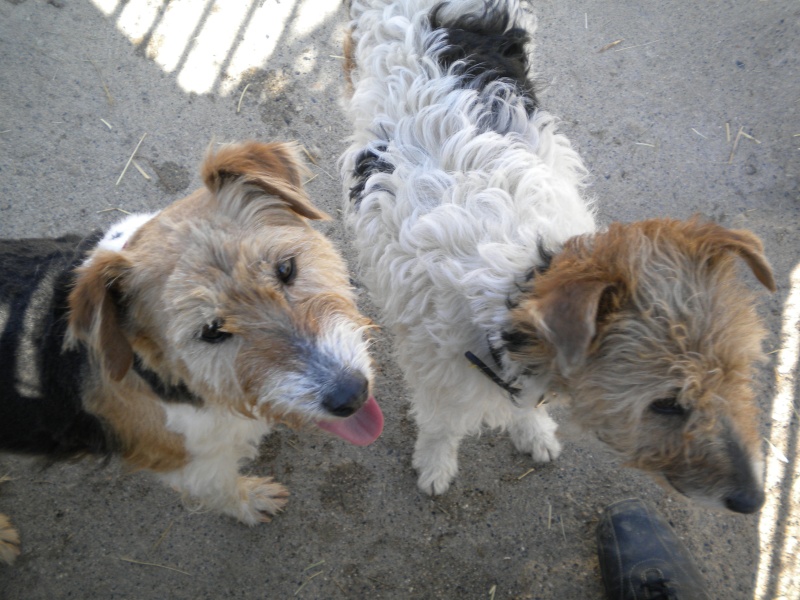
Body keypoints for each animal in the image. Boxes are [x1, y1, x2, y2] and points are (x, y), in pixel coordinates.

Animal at [0, 141, 384, 564]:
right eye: (211, 332)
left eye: (286, 268)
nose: (351, 395)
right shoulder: (194, 464)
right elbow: (223, 489)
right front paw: (251, 501)